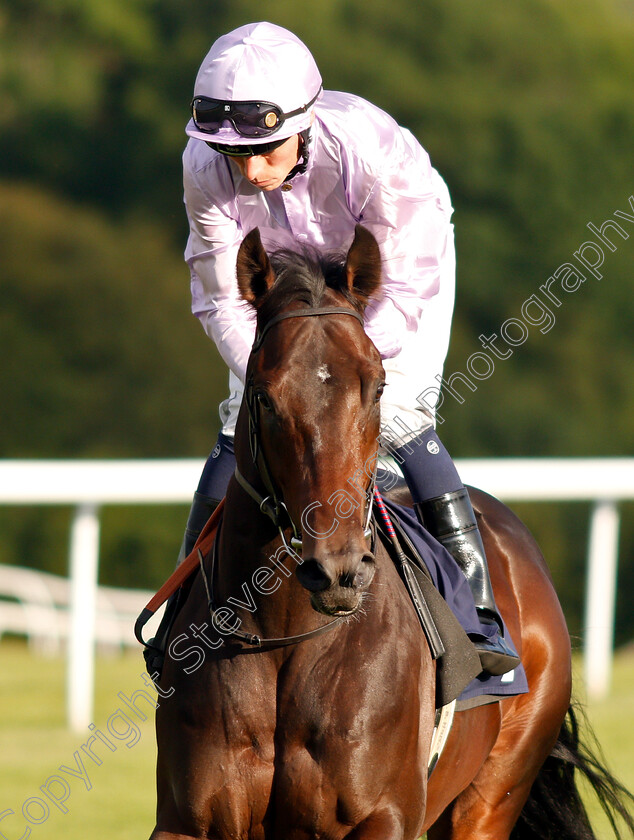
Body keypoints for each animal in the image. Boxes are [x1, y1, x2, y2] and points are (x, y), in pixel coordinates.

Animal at [149, 226, 632, 836]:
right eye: (262, 394)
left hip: (493, 793)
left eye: (376, 387)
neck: (288, 636)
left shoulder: (383, 815)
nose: (336, 571)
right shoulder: (187, 820)